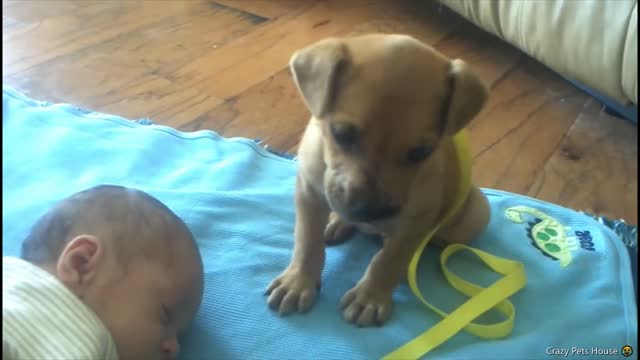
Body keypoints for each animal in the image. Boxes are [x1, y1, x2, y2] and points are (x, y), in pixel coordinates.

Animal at [264, 34, 490, 330]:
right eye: (341, 134)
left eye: (421, 152)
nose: (370, 212)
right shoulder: (309, 192)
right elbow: (307, 240)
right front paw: (298, 281)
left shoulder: (415, 223)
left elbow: (388, 261)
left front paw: (369, 297)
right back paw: (338, 223)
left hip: (476, 212)